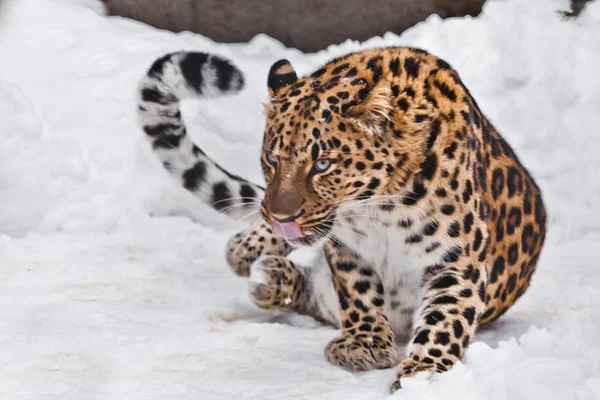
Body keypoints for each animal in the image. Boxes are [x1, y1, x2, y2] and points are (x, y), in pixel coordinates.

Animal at [137, 46, 548, 390]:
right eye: (271, 158)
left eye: (322, 164)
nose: (281, 216)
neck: (383, 207)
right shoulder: (347, 246)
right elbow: (358, 291)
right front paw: (364, 343)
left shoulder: (457, 260)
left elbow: (447, 318)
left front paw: (425, 374)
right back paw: (258, 262)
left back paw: (269, 273)